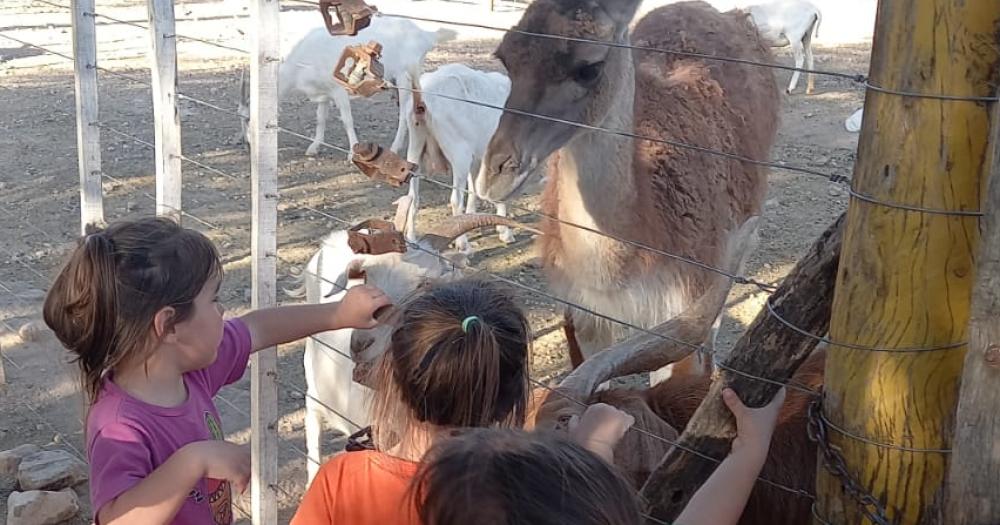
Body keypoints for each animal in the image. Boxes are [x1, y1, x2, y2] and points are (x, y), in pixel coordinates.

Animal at [238, 18, 458, 158]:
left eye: (250, 119)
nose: (249, 145)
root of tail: (425, 35)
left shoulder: (338, 90)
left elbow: (347, 121)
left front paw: (353, 152)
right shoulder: (324, 93)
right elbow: (320, 119)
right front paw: (314, 147)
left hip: (405, 77)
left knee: (405, 112)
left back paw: (395, 148)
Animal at [406, 63, 516, 252]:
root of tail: (421, 100)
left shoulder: (478, 157)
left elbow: (474, 188)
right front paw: (505, 232)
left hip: (415, 146)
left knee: (412, 197)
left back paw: (412, 239)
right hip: (459, 153)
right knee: (455, 200)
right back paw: (463, 245)